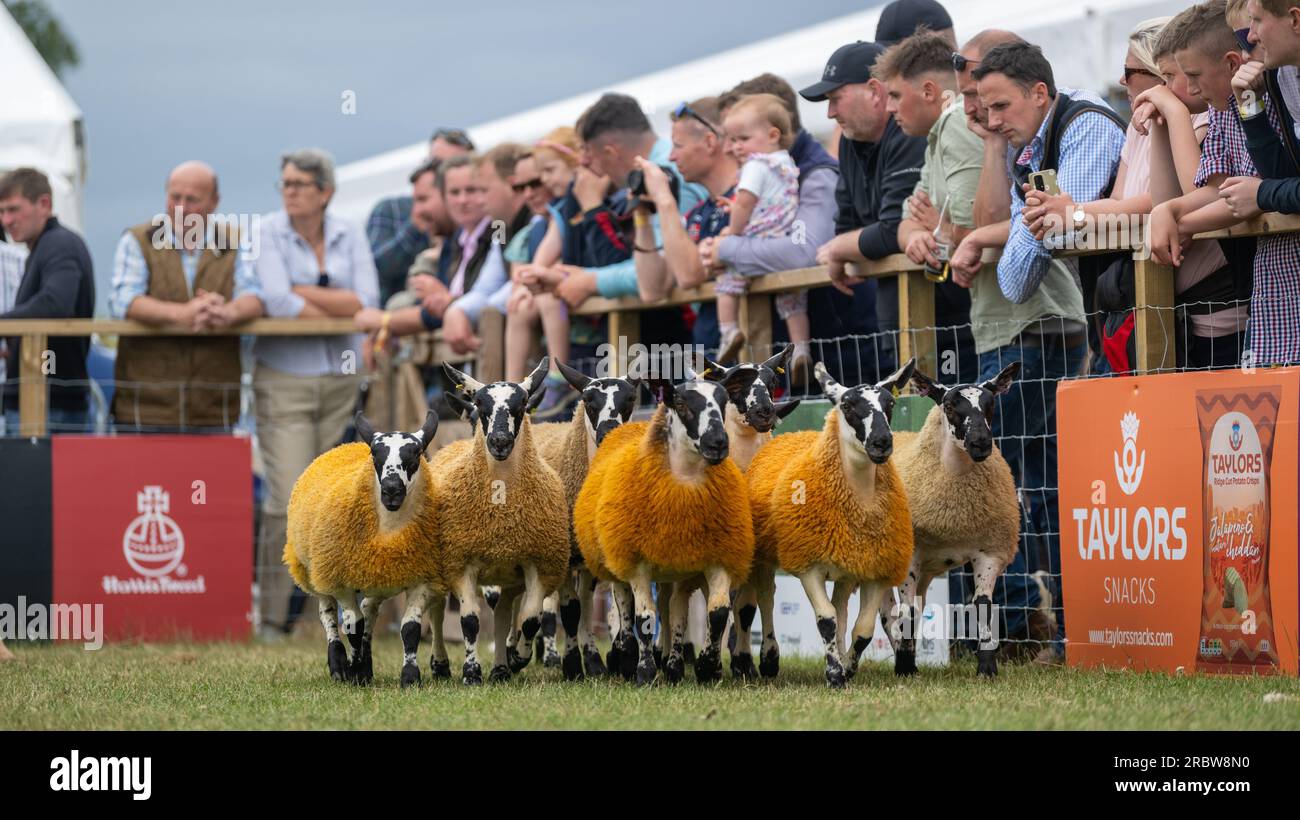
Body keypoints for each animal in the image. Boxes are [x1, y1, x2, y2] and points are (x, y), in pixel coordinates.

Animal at [283, 410, 445, 688]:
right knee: (328, 614)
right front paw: (353, 671)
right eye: (375, 453)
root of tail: (346, 445)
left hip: (374, 578)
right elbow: (353, 627)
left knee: (369, 611)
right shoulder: (341, 583)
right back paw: (339, 665)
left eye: (416, 453)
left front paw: (409, 678)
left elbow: (409, 629)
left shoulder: (421, 579)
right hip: (316, 571)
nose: (392, 489)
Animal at [434, 358, 571, 685]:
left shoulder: (538, 564)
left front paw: (518, 657)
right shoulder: (462, 564)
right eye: (480, 406)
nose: (499, 442)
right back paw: (440, 664)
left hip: (508, 574)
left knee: (503, 615)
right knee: (436, 614)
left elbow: (531, 619)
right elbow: (470, 621)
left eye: (521, 406)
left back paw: (502, 666)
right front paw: (471, 673)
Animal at [574, 361, 756, 686]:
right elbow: (644, 618)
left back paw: (672, 663)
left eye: (724, 401)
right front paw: (644, 671)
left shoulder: (717, 559)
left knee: (674, 610)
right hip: (617, 559)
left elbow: (716, 614)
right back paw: (626, 656)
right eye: (681, 404)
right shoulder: (637, 564)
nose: (718, 443)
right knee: (626, 608)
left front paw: (706, 667)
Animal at [746, 360, 915, 688]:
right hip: (764, 555)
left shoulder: (875, 569)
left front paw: (846, 666)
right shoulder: (808, 565)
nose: (882, 442)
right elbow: (826, 619)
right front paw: (835, 675)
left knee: (842, 610)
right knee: (767, 599)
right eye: (847, 405)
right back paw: (769, 658)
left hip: (845, 569)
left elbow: (862, 629)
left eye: (890, 403)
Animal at [880, 363, 1021, 678]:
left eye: (990, 403)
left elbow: (982, 605)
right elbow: (905, 612)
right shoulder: (911, 555)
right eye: (948, 405)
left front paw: (987, 668)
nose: (980, 442)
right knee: (888, 613)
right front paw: (904, 668)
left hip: (926, 570)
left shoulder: (989, 551)